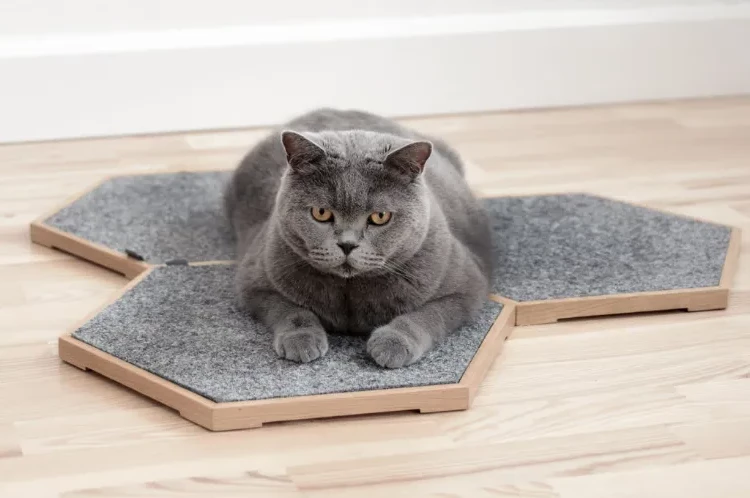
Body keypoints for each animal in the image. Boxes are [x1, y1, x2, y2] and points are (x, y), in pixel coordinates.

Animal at [223, 108, 494, 366]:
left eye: (380, 216)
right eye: (321, 213)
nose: (347, 244)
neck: (350, 293)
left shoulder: (467, 287)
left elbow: (426, 315)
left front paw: (392, 344)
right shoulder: (254, 281)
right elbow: (290, 310)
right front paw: (301, 340)